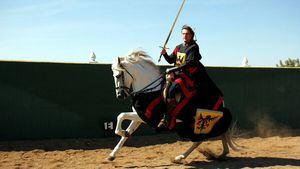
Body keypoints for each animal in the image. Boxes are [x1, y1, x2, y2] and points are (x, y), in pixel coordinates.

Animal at [108, 49, 239, 162]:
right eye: (114, 75)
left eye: (118, 75)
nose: (119, 95)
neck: (150, 90)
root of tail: (222, 103)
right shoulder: (139, 116)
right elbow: (126, 133)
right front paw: (112, 154)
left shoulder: (146, 116)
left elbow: (121, 115)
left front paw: (122, 132)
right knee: (219, 136)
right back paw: (220, 154)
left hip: (198, 126)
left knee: (200, 140)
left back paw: (180, 157)